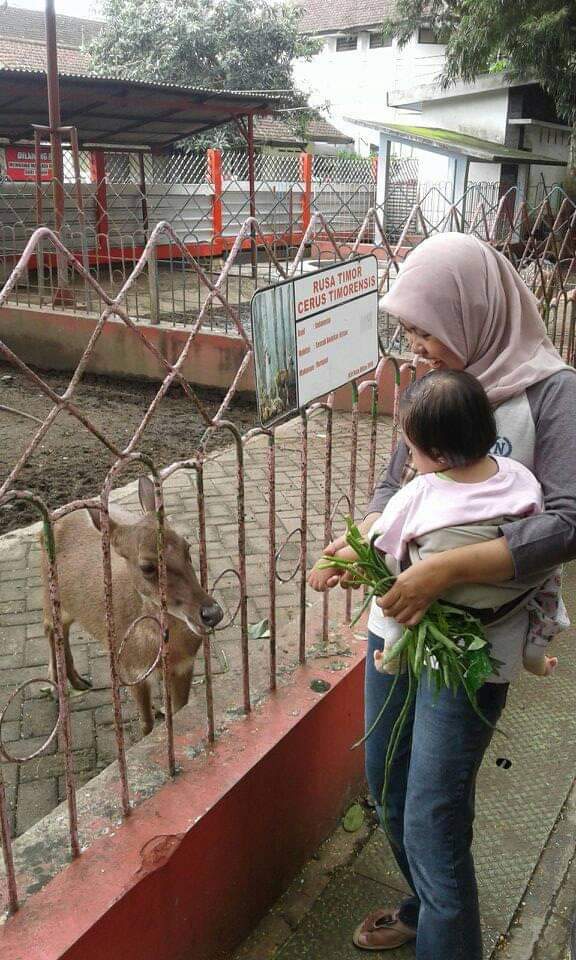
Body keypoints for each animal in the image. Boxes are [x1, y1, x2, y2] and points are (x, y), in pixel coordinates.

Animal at [40, 474, 223, 736]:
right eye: (147, 566)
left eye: (187, 547)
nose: (211, 613)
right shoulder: (131, 671)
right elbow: (146, 724)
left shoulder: (185, 665)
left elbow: (179, 712)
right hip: (49, 594)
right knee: (49, 628)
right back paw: (57, 687)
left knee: (62, 631)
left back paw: (79, 682)